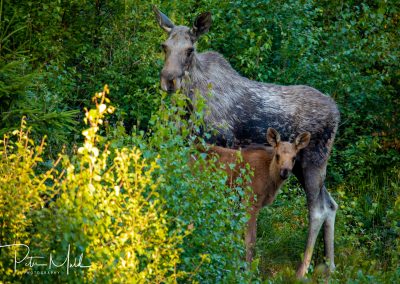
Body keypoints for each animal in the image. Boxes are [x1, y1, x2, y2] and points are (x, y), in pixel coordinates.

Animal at [154, 6, 340, 278]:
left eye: (190, 49)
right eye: (164, 47)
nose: (168, 80)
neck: (192, 101)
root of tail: (337, 113)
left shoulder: (225, 145)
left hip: (312, 160)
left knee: (318, 209)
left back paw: (302, 271)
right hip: (301, 165)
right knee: (332, 204)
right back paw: (330, 266)